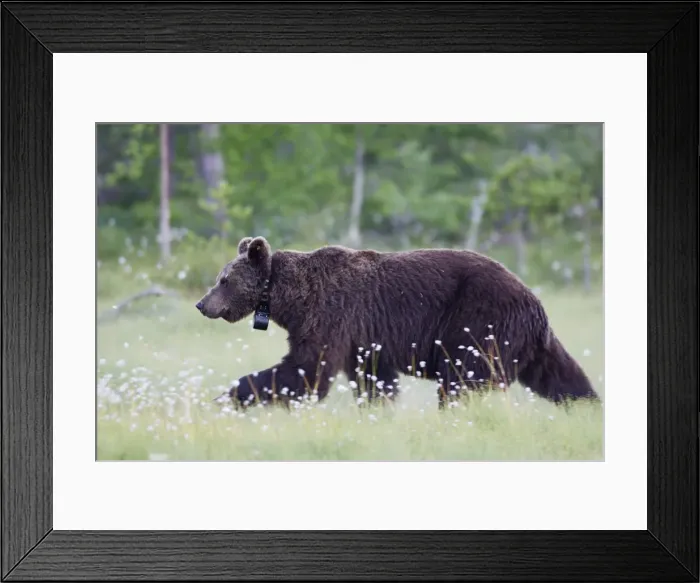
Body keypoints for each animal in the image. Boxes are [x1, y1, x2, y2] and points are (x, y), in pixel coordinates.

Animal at [196, 236, 599, 410]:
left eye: (224, 280)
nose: (202, 304)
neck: (289, 297)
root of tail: (535, 301)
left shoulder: (332, 315)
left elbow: (307, 369)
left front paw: (227, 396)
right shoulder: (363, 337)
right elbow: (374, 378)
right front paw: (378, 408)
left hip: (480, 323)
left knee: (461, 380)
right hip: (526, 343)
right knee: (561, 375)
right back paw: (588, 406)